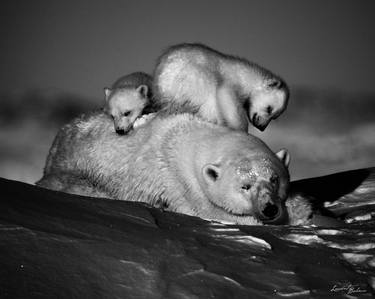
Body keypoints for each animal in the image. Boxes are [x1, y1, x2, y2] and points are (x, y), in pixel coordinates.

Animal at [37, 112, 290, 225]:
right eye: (245, 186)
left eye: (274, 179)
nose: (269, 208)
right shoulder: (183, 184)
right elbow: (215, 213)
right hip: (77, 174)